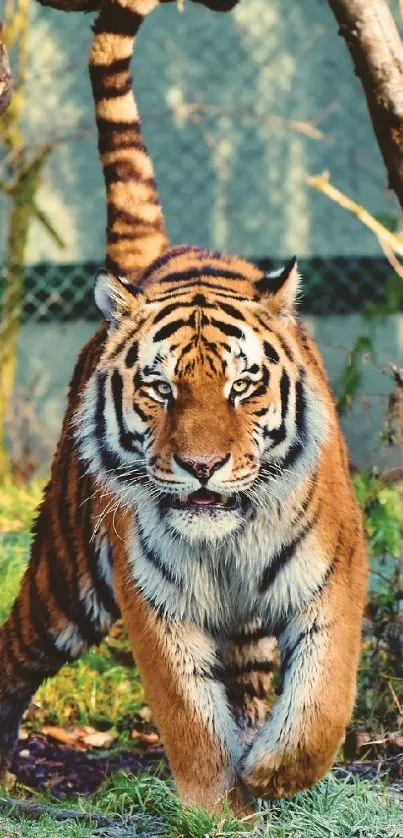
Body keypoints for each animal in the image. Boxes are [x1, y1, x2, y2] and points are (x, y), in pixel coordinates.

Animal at [0, 0, 370, 816]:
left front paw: (272, 774)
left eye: (242, 386)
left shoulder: (333, 578)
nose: (201, 467)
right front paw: (216, 807)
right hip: (67, 576)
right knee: (15, 652)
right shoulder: (155, 604)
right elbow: (190, 720)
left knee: (256, 684)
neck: (225, 543)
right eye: (160, 387)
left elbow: (321, 704)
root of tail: (160, 257)